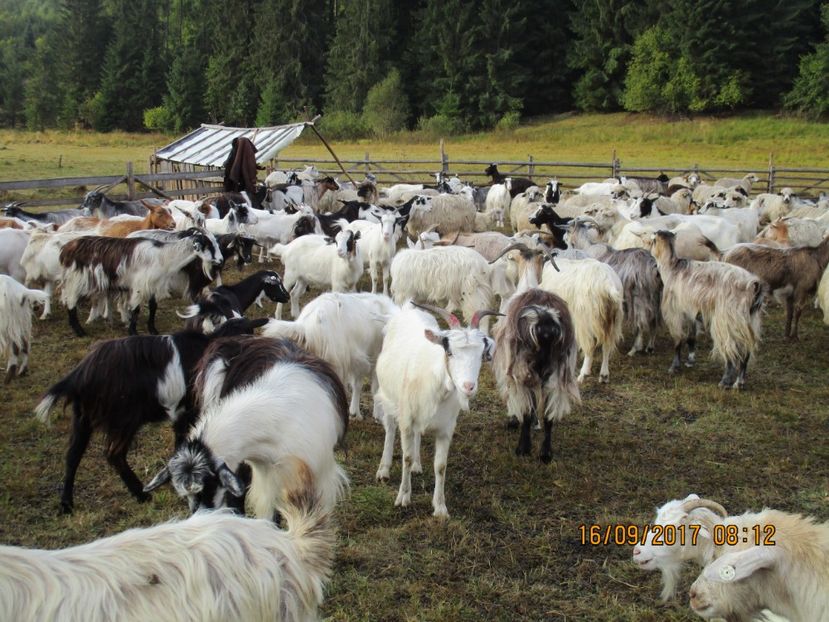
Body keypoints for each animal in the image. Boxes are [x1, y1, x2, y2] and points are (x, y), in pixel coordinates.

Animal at [31, 320, 266, 516]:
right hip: (124, 419)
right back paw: (140, 494)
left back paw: (66, 504)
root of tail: (80, 374)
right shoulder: (188, 414)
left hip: (83, 418)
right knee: (113, 454)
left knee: (73, 456)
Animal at [648, 232, 764, 390]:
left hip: (726, 318)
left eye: (652, 242)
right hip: (750, 319)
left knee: (731, 349)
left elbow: (678, 338)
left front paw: (674, 367)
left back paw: (725, 381)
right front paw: (690, 361)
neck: (672, 268)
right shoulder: (690, 309)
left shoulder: (674, 311)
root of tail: (754, 285)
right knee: (745, 351)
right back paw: (739, 382)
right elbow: (691, 337)